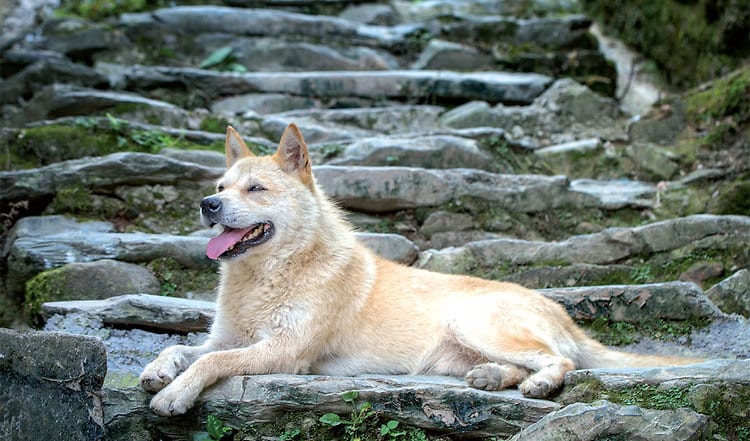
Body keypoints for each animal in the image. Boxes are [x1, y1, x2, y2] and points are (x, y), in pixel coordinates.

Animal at [140, 124, 704, 416]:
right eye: (220, 185)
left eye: (255, 189)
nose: (207, 204)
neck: (270, 272)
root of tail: (563, 313)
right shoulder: (226, 338)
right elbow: (184, 349)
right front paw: (159, 370)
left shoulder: (284, 352)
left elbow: (211, 364)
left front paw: (175, 393)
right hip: (459, 351)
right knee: (526, 363)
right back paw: (494, 377)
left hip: (473, 320)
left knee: (561, 361)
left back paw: (540, 384)